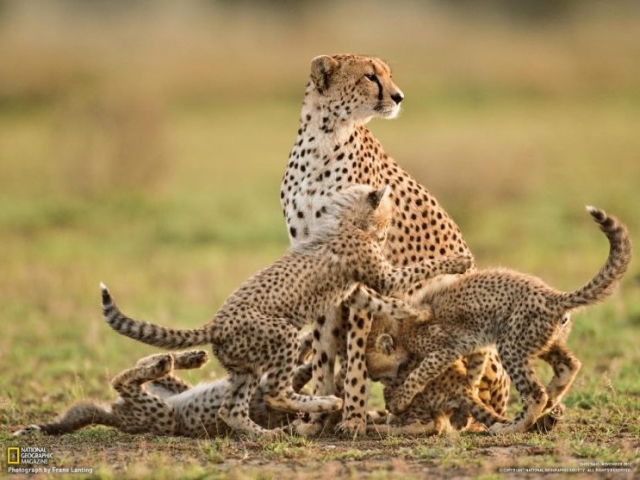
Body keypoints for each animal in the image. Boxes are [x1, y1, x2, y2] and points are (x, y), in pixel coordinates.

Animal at [13, 348, 314, 438]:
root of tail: (116, 417)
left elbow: (303, 370)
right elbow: (302, 359)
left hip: (162, 411)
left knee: (123, 381)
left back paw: (167, 362)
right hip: (172, 390)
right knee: (140, 366)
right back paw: (188, 357)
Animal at [100, 182, 470, 436]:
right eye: (388, 216)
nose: (387, 231)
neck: (344, 222)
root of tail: (215, 323)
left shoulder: (357, 292)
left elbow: (387, 302)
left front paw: (418, 314)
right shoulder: (382, 276)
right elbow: (416, 271)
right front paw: (458, 261)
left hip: (245, 367)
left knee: (231, 410)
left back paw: (266, 435)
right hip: (282, 336)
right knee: (277, 392)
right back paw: (325, 403)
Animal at [278, 53, 508, 436]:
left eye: (387, 74)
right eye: (370, 77)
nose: (399, 97)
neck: (325, 137)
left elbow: (357, 352)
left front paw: (353, 418)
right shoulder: (319, 264)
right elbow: (324, 351)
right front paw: (318, 419)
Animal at [384, 207, 632, 436]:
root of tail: (554, 296)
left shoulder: (445, 348)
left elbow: (420, 372)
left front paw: (400, 400)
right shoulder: (472, 343)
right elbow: (473, 373)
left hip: (511, 345)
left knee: (536, 394)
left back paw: (511, 427)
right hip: (541, 341)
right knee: (569, 365)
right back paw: (551, 402)